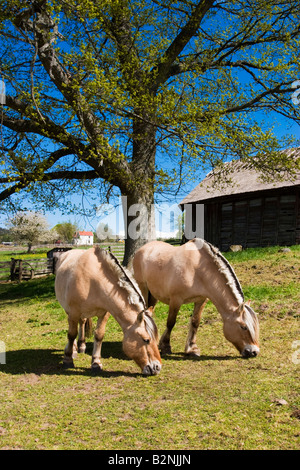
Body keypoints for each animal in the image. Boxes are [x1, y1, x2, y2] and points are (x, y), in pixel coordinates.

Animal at [54, 246, 162, 374]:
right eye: (146, 340)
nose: (157, 367)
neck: (93, 281)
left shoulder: (105, 313)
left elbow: (99, 335)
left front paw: (96, 363)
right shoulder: (74, 312)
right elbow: (71, 335)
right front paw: (68, 359)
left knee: (83, 322)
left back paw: (82, 346)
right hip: (69, 312)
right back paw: (74, 350)